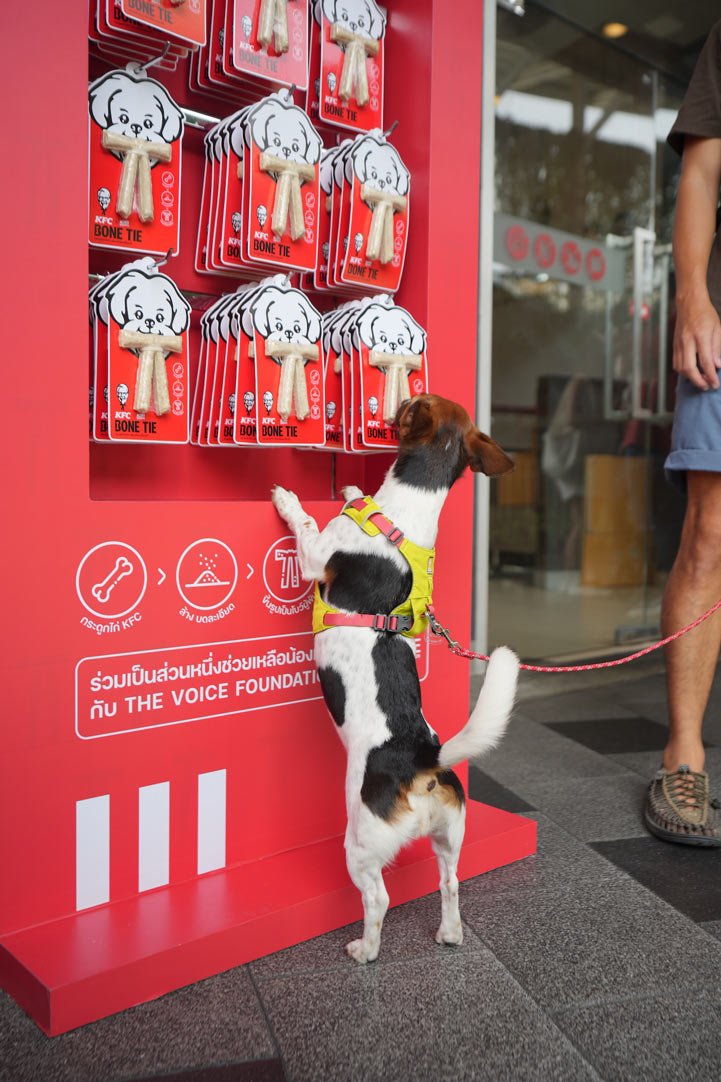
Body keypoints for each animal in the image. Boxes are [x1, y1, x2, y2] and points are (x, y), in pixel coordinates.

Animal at [272, 393, 519, 960]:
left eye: (409, 403)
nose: (396, 398)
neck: (406, 511)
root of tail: (425, 759)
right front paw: (353, 490)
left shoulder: (316, 556)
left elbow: (307, 526)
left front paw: (291, 498)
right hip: (451, 834)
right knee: (450, 882)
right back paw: (449, 933)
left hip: (360, 840)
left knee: (378, 899)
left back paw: (365, 949)